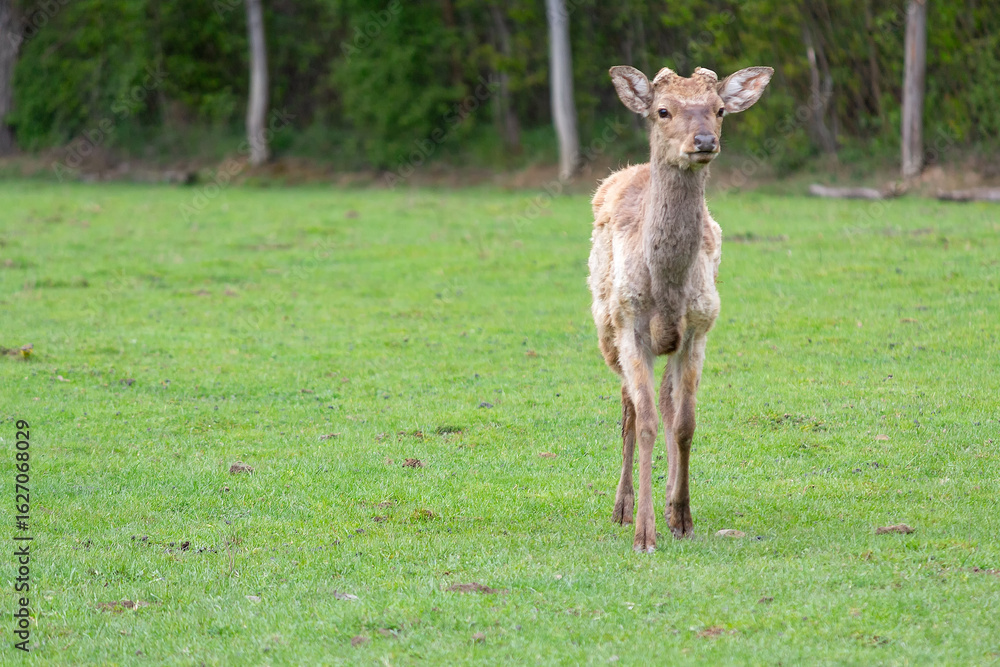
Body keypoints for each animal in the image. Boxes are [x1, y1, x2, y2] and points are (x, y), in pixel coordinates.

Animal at [587, 64, 772, 552]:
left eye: (720, 109)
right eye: (663, 110)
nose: (704, 141)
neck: (666, 286)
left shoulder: (698, 329)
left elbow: (684, 423)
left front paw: (682, 518)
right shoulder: (630, 326)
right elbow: (647, 422)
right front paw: (643, 534)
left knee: (668, 407)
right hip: (607, 331)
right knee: (629, 410)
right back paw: (621, 507)